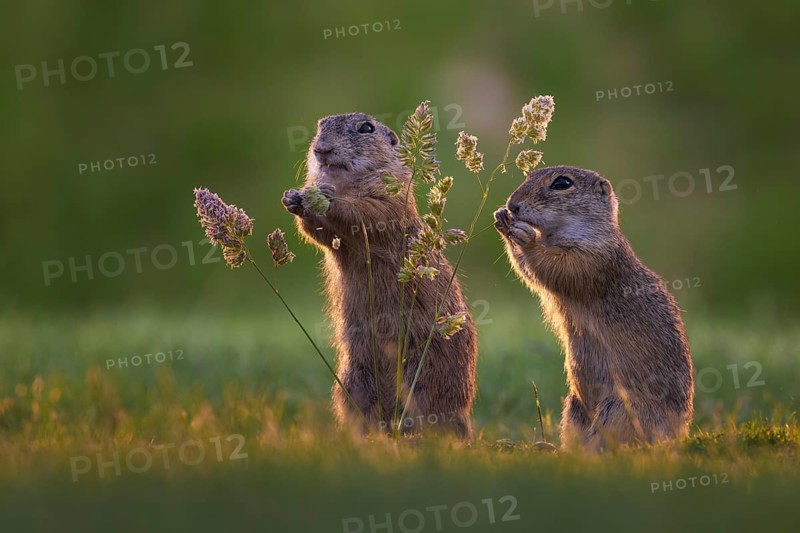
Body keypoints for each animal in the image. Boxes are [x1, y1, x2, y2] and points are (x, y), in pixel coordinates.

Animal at [282, 113, 477, 439]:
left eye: (366, 128)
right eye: (320, 125)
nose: (321, 149)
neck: (346, 182)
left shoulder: (389, 198)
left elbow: (366, 212)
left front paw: (324, 197)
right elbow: (318, 233)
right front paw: (293, 198)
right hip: (352, 383)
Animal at [494, 165, 693, 451]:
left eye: (562, 183)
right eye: (528, 175)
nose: (513, 204)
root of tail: (680, 435)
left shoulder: (592, 254)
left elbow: (557, 266)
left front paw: (526, 237)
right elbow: (530, 272)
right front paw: (502, 219)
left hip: (622, 408)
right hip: (574, 407)